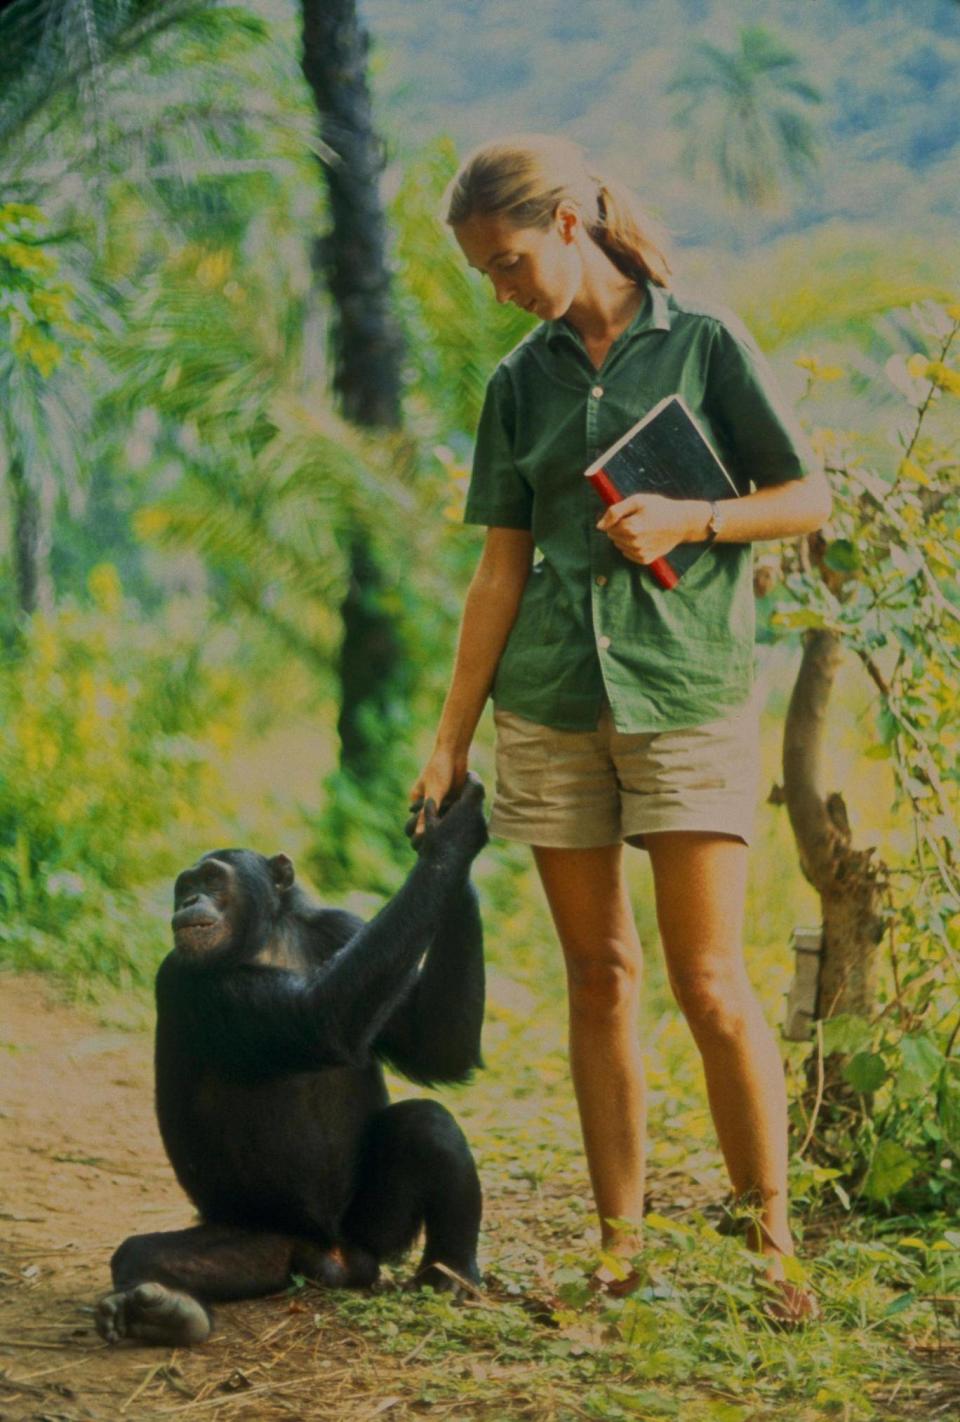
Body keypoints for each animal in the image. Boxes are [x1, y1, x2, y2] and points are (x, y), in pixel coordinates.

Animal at [96, 779, 489, 1342]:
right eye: (183, 885)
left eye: (211, 879)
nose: (190, 898)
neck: (269, 941)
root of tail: (332, 1259)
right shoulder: (188, 981)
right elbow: (321, 1018)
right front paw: (451, 838)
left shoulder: (343, 929)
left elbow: (436, 1045)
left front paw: (457, 844)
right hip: (263, 1240)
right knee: (141, 1256)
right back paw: (163, 1309)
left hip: (372, 1232)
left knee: (429, 1125)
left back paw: (449, 1274)